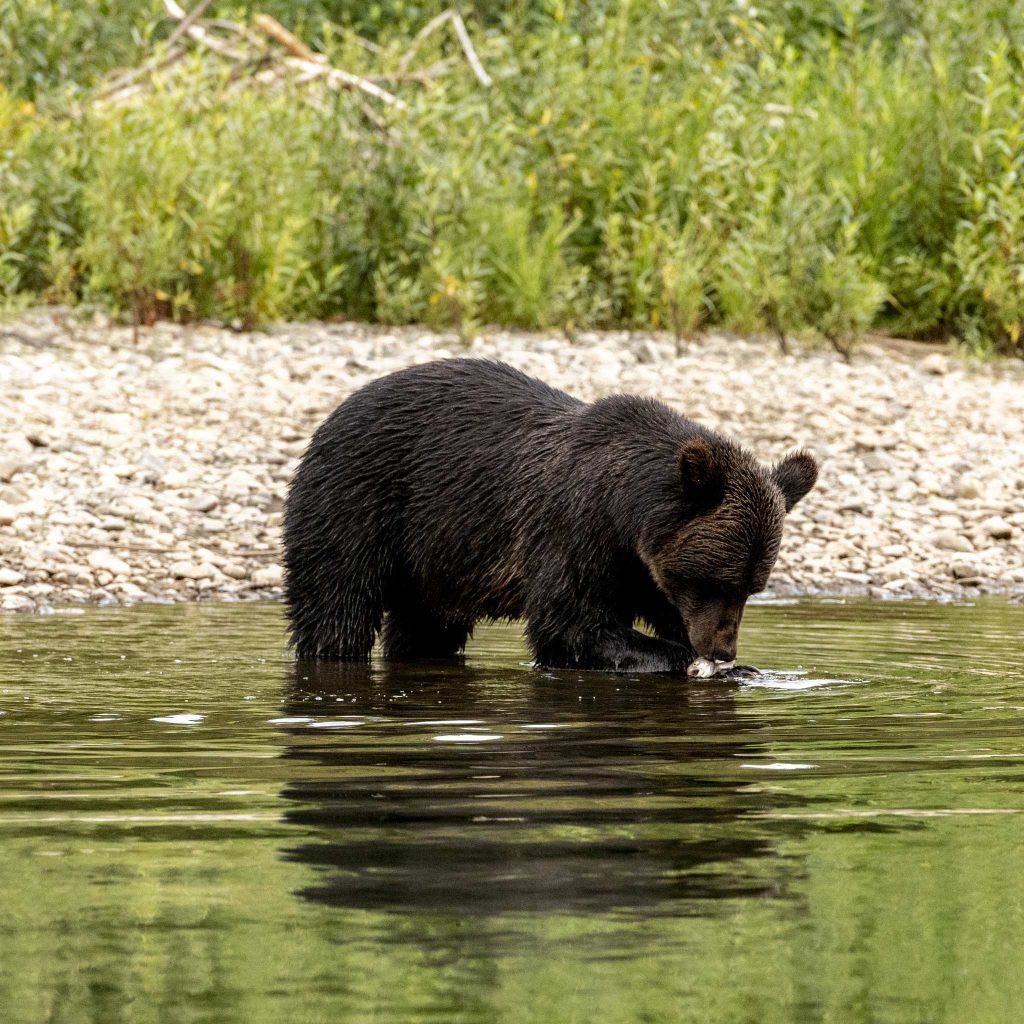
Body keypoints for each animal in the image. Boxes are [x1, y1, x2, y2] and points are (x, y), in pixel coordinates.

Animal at [284, 358, 819, 671]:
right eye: (717, 582)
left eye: (752, 587)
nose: (723, 649)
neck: (624, 514)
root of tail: (337, 411)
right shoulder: (574, 527)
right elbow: (569, 623)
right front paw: (681, 656)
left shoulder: (641, 565)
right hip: (361, 500)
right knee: (337, 602)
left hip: (435, 557)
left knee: (426, 624)